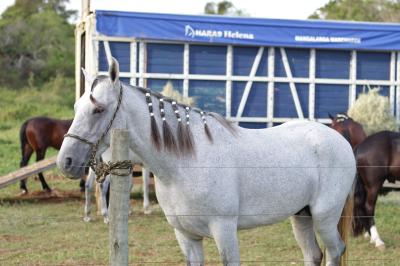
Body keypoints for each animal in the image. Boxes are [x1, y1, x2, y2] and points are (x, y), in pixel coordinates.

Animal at [57, 58, 356, 266]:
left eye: (98, 109)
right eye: (76, 108)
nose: (66, 161)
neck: (186, 165)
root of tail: (341, 141)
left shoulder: (224, 231)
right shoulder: (186, 236)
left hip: (324, 217)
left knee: (335, 251)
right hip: (302, 216)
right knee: (314, 254)